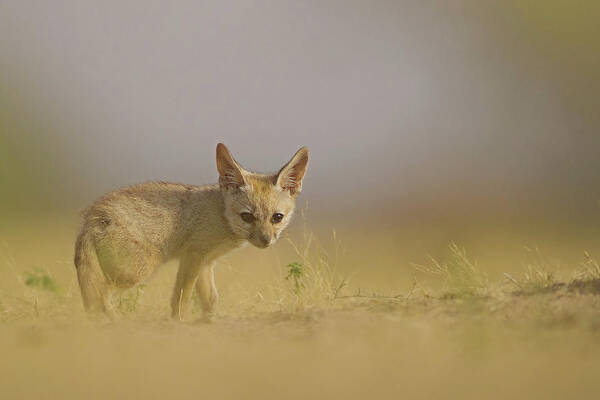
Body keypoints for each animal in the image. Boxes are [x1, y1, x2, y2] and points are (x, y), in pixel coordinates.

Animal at [74, 142, 310, 320]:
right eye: (247, 216)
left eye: (277, 217)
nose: (266, 240)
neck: (221, 214)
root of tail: (92, 214)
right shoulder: (193, 256)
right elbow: (182, 297)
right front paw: (178, 322)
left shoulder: (206, 262)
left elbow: (211, 299)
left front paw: (210, 321)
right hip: (138, 271)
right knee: (101, 294)